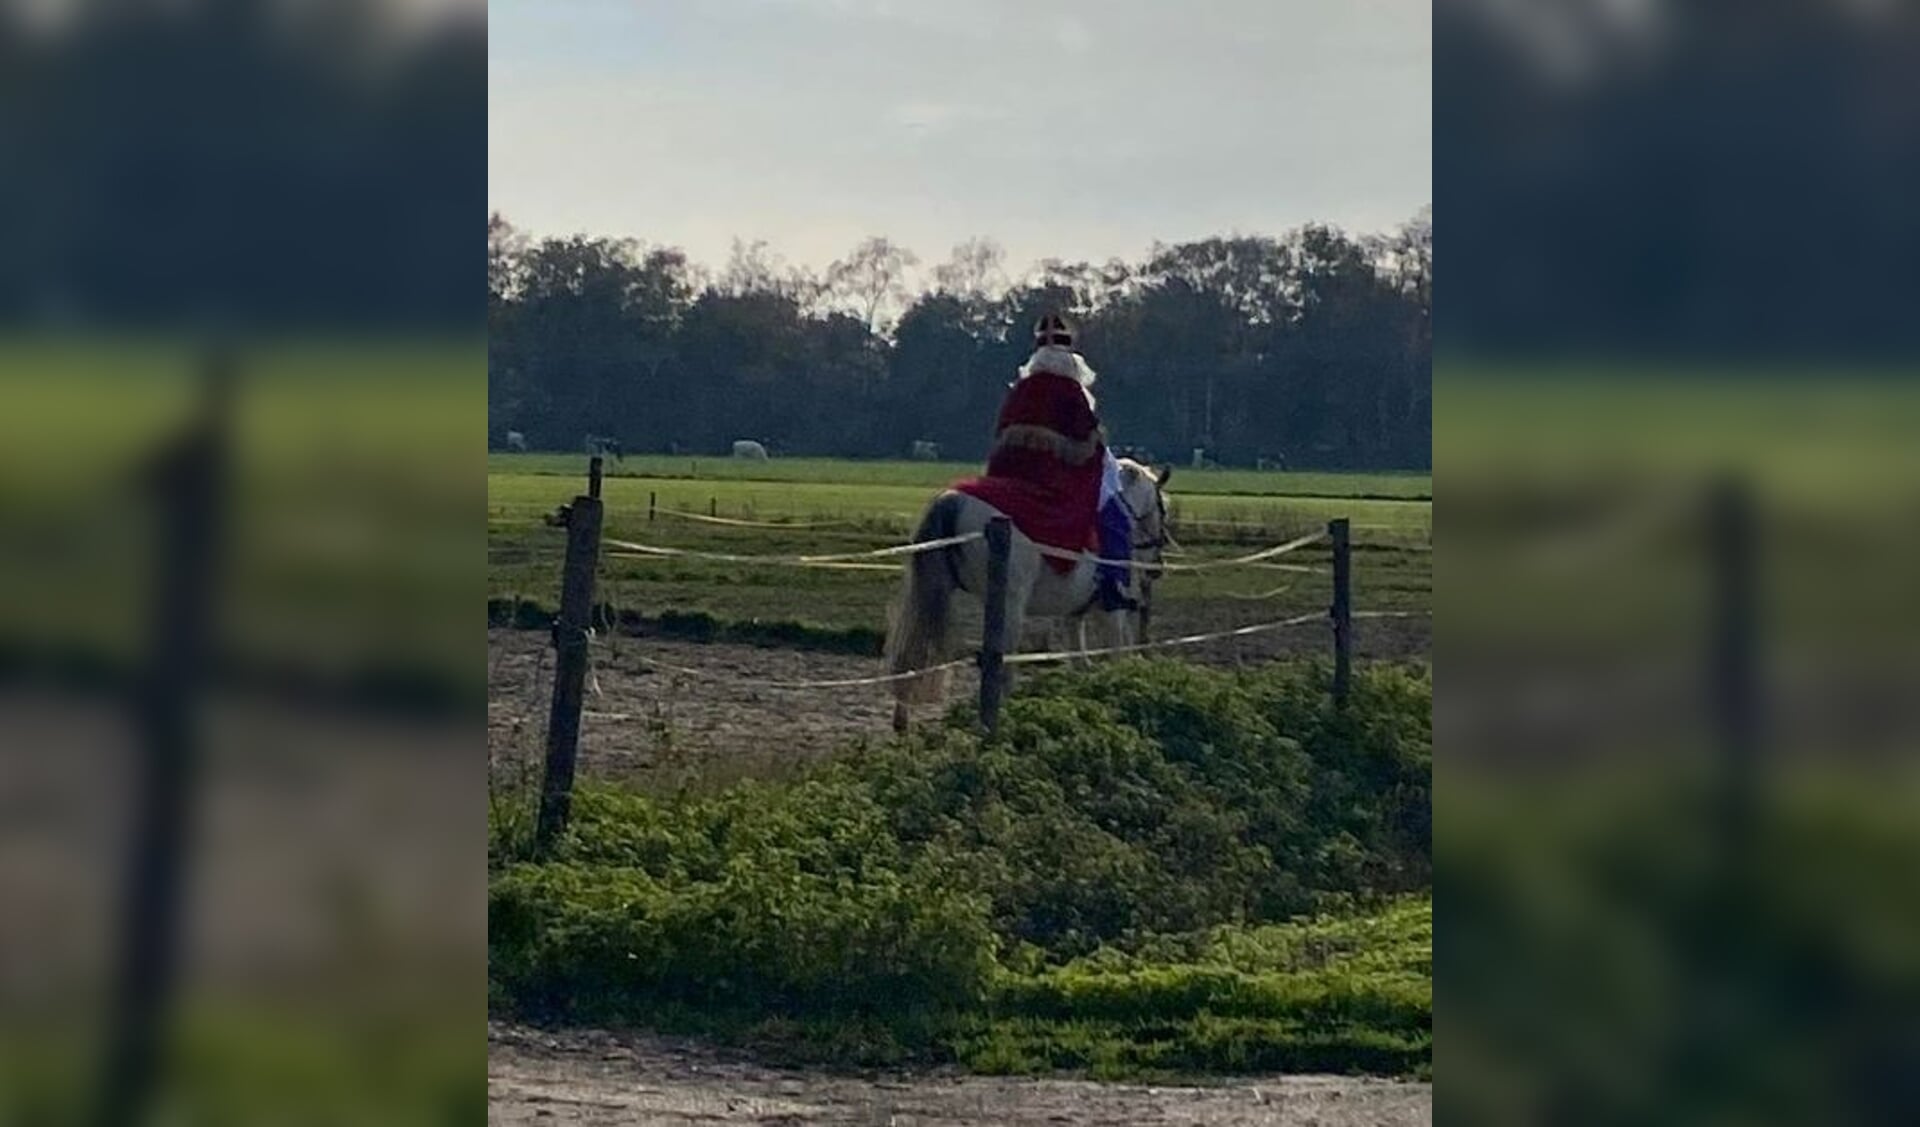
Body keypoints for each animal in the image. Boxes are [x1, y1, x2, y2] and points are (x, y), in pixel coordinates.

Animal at [879, 456, 1167, 733]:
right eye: (1162, 508)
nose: (1156, 568)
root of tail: (952, 499)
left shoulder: (1074, 616)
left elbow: (1081, 663)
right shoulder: (1111, 614)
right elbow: (1117, 654)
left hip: (936, 593)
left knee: (914, 653)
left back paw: (902, 719)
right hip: (1010, 605)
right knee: (1001, 666)